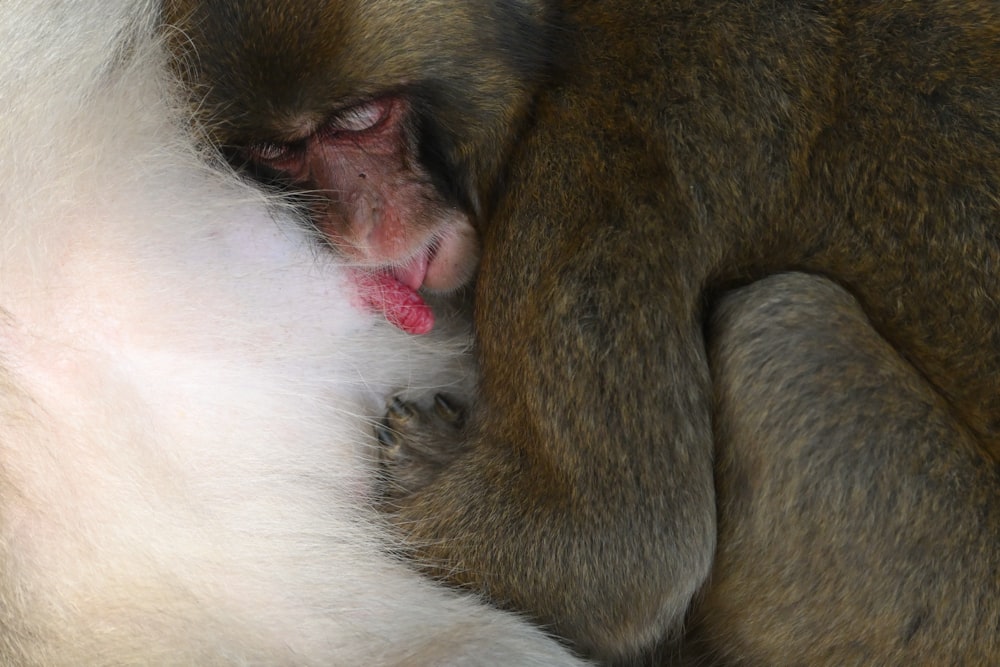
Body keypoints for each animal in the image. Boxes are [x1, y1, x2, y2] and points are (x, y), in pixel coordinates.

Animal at [160, 0, 1000, 664]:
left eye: (359, 121)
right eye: (278, 150)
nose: (369, 229)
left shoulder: (588, 171)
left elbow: (612, 550)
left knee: (783, 328)